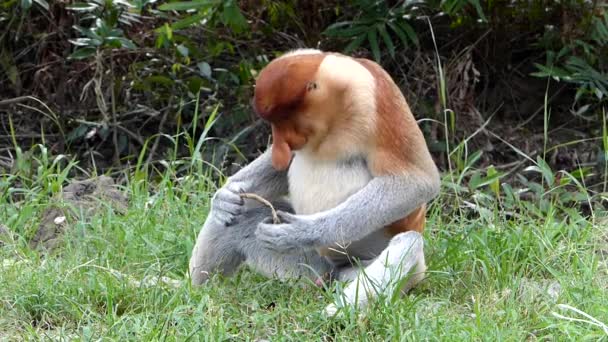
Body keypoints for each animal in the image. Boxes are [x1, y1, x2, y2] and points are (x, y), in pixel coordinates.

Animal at [188, 48, 440, 316]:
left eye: (285, 121)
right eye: (273, 125)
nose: (279, 149)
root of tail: (337, 272)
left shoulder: (379, 97)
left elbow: (417, 180)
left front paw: (300, 232)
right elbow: (280, 170)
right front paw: (224, 197)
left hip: (401, 271)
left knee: (409, 243)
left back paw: (335, 314)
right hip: (308, 268)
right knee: (239, 219)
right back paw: (192, 289)